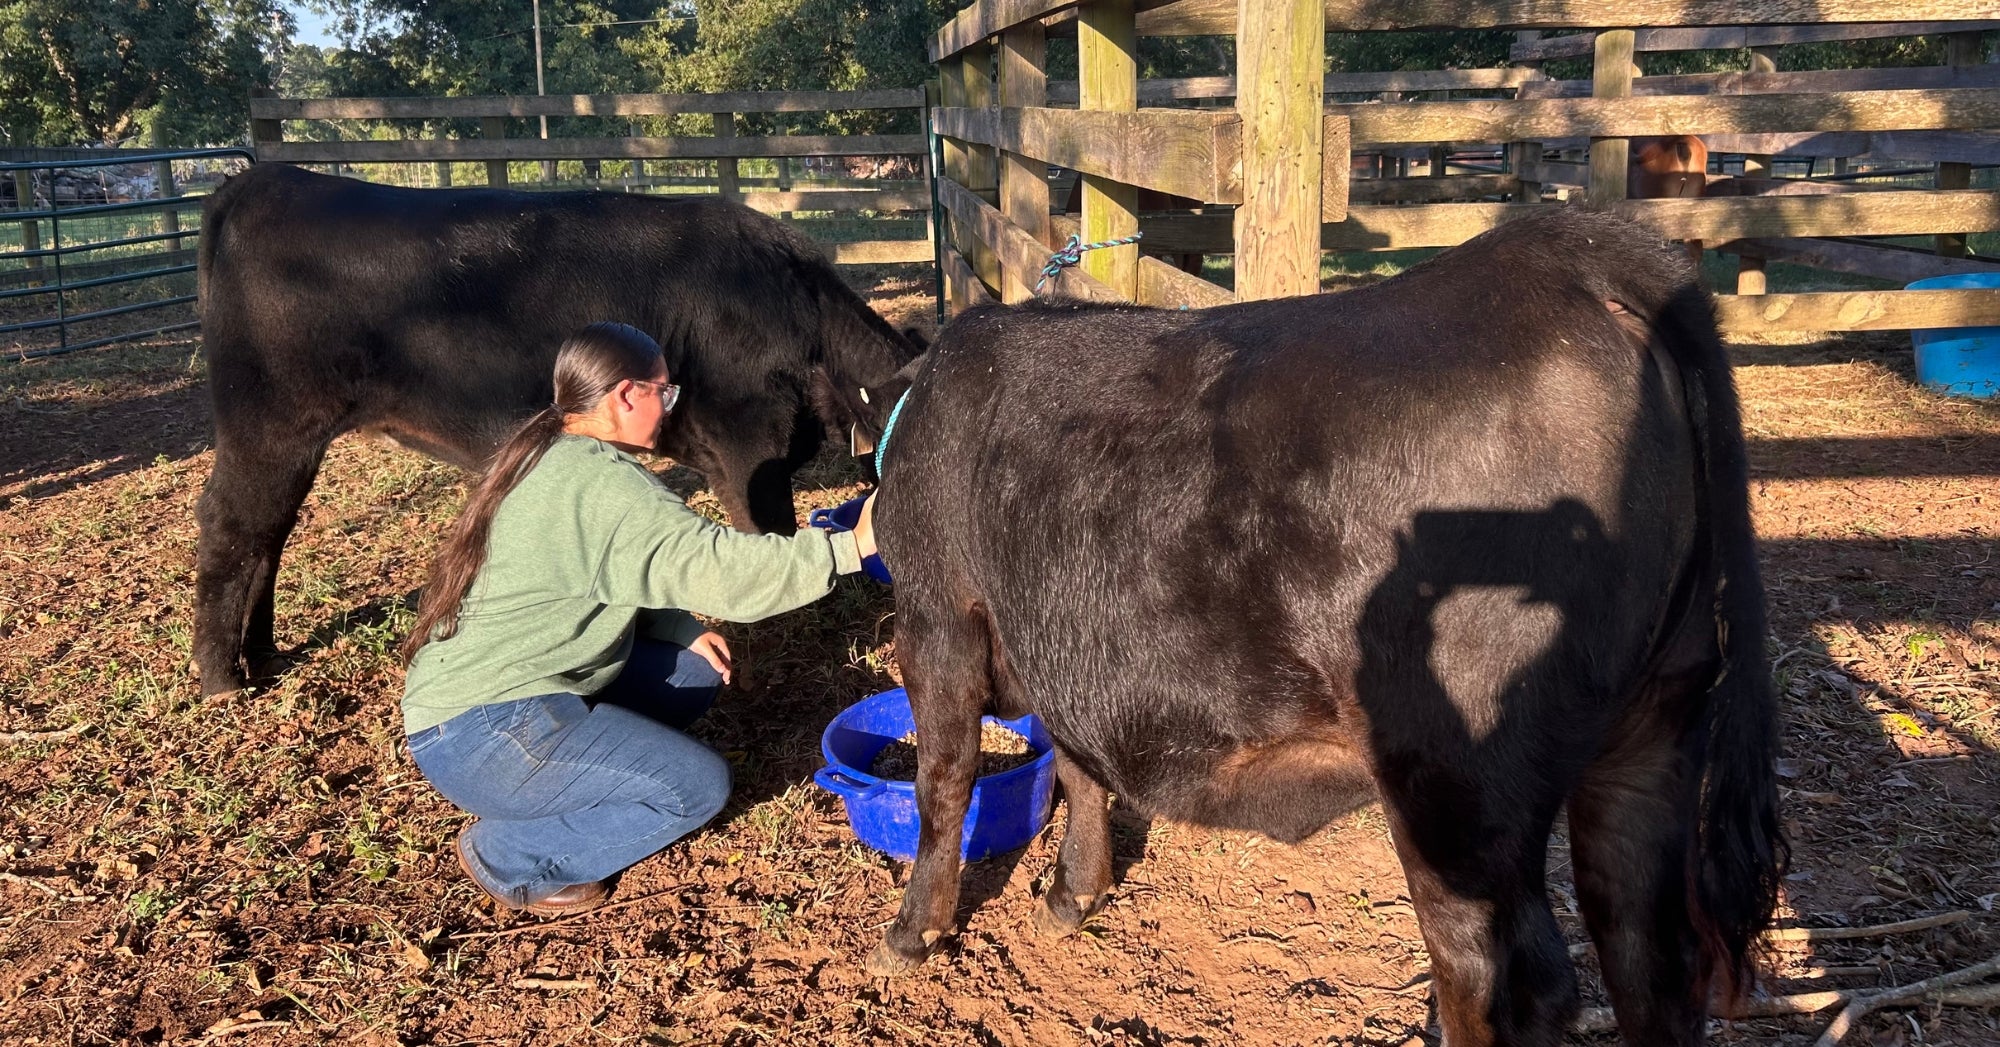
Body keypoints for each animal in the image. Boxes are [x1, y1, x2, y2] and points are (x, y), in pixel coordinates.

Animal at [197, 165, 920, 695]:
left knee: (269, 533)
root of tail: (266, 180)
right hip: (268, 425)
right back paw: (221, 676)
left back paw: (262, 655)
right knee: (233, 524)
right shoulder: (749, 444)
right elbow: (764, 534)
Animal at [868, 208, 1792, 1039]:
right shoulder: (1047, 635)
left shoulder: (936, 614)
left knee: (1499, 978)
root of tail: (1572, 251)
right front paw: (1073, 893)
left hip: (1457, 783)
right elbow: (1074, 761)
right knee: (1650, 955)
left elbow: (944, 778)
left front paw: (914, 931)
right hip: (1654, 730)